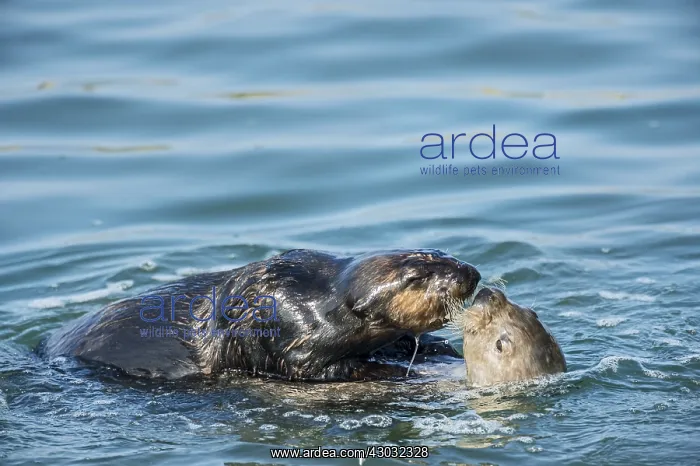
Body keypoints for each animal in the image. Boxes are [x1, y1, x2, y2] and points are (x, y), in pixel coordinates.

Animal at [43, 249, 480, 381]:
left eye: (441, 254)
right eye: (417, 278)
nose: (471, 274)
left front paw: (428, 347)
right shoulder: (290, 329)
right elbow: (306, 367)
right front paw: (380, 367)